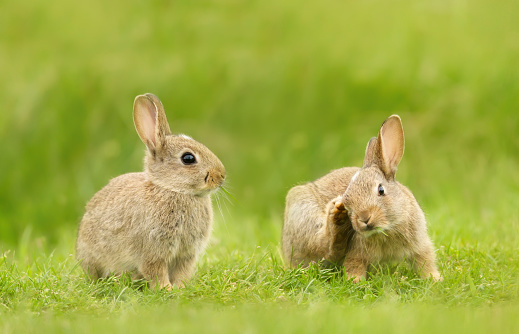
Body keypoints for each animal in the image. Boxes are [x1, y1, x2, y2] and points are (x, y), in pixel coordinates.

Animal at [76, 92, 226, 288]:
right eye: (188, 158)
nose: (221, 176)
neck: (173, 190)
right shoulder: (152, 250)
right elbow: (156, 271)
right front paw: (166, 289)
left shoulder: (186, 254)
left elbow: (182, 272)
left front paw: (181, 287)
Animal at [282, 114, 440, 282]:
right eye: (347, 201)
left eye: (381, 190)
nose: (364, 219)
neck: (386, 230)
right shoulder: (356, 253)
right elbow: (354, 265)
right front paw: (355, 281)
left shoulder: (420, 244)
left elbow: (425, 260)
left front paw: (434, 278)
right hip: (302, 214)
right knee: (325, 248)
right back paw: (336, 219)